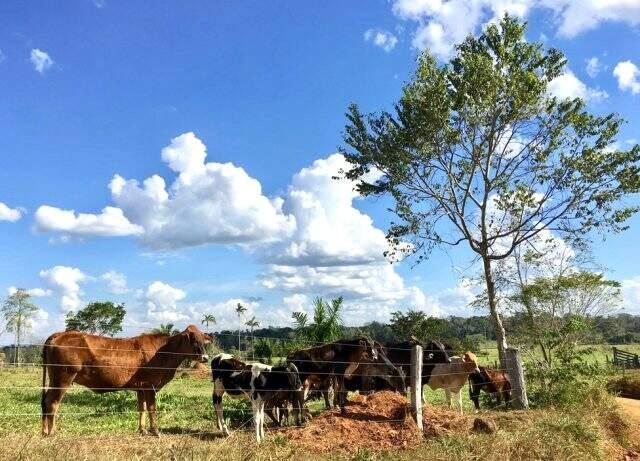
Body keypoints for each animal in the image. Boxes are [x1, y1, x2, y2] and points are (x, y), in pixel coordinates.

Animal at [40, 324, 210, 434]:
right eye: (193, 340)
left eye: (203, 341)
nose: (205, 358)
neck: (165, 351)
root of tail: (60, 334)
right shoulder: (150, 386)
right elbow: (152, 408)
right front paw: (155, 431)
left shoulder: (140, 388)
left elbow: (141, 408)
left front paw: (142, 430)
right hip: (63, 378)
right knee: (52, 403)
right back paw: (53, 432)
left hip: (55, 378)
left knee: (46, 402)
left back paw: (45, 430)